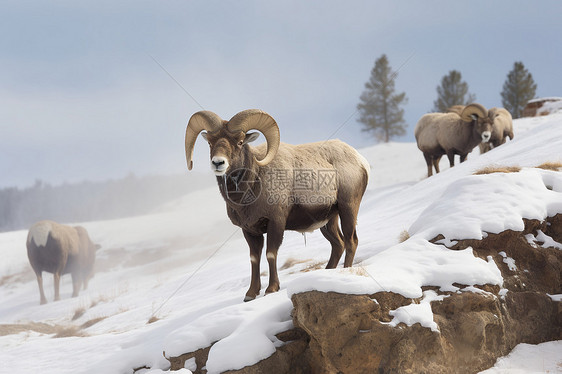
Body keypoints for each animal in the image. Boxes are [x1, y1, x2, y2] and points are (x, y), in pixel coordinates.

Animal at [183, 109, 368, 300]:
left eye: (240, 142)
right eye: (210, 142)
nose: (218, 163)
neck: (254, 183)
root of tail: (360, 160)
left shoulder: (275, 223)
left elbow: (271, 254)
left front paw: (271, 289)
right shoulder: (249, 231)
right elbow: (254, 259)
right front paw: (250, 294)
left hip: (348, 209)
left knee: (351, 241)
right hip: (328, 222)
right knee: (338, 244)